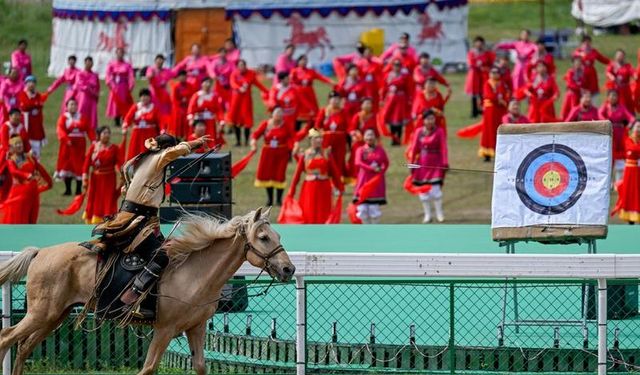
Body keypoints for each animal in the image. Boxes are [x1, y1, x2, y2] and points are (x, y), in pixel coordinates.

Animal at [0, 207, 296, 374]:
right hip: (40, 314)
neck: (195, 272)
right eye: (263, 237)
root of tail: (40, 253)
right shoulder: (164, 330)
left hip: (53, 317)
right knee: (7, 338)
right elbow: (148, 368)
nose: (289, 269)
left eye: (278, 236)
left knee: (23, 347)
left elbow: (201, 366)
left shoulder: (196, 328)